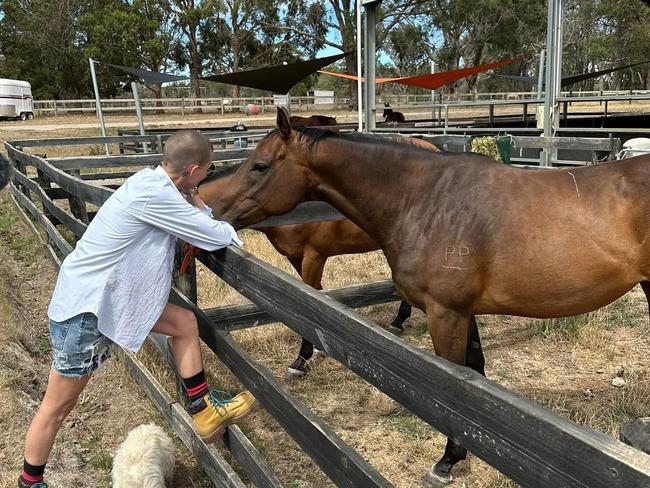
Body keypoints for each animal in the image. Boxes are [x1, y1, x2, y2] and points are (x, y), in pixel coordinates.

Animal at [197, 136, 440, 378]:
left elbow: (309, 305)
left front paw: (301, 360)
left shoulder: (314, 257)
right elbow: (317, 297)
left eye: (260, 167)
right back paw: (399, 319)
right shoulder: (296, 258)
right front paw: (318, 348)